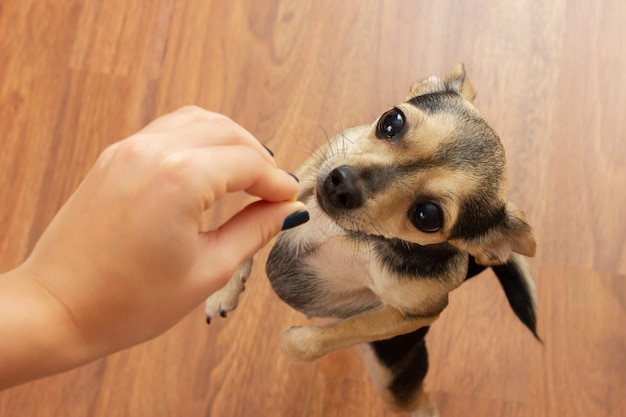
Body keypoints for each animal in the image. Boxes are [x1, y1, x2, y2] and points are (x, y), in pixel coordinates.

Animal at [206, 63, 536, 414]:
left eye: (428, 216)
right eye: (391, 122)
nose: (342, 183)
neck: (355, 234)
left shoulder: (415, 314)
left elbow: (317, 339)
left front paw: (295, 339)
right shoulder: (317, 165)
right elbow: (263, 208)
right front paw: (224, 289)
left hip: (392, 374)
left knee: (419, 401)